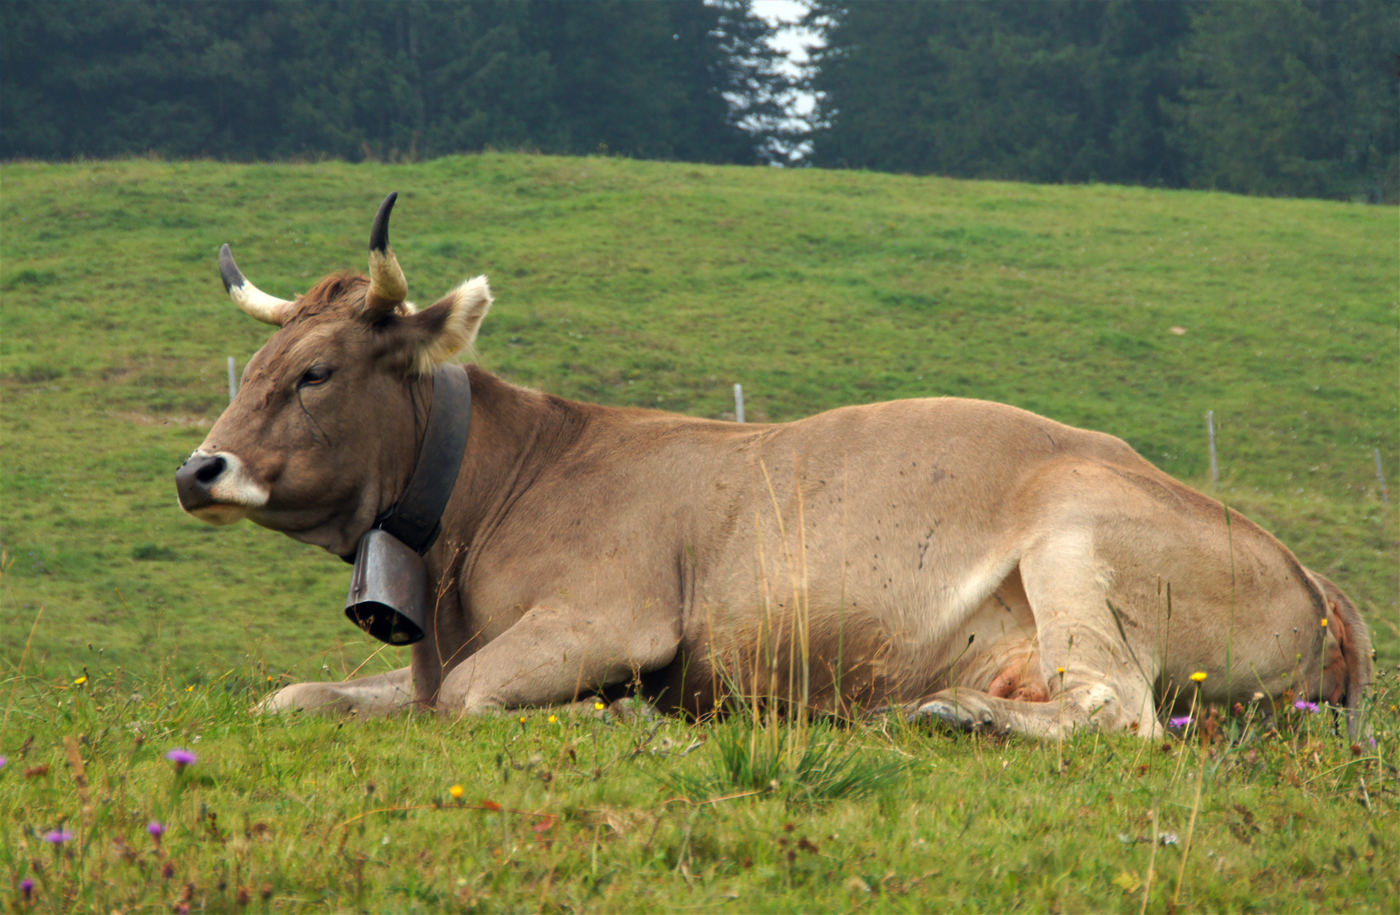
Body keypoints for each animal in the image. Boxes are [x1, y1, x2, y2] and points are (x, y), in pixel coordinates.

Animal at [172, 197, 1366, 744]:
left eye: (317, 372)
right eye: (260, 364)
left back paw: (947, 716)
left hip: (1076, 542)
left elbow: (465, 701)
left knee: (1119, 710)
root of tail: (1313, 577)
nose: (198, 468)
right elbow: (295, 694)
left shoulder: (610, 615)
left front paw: (605, 718)